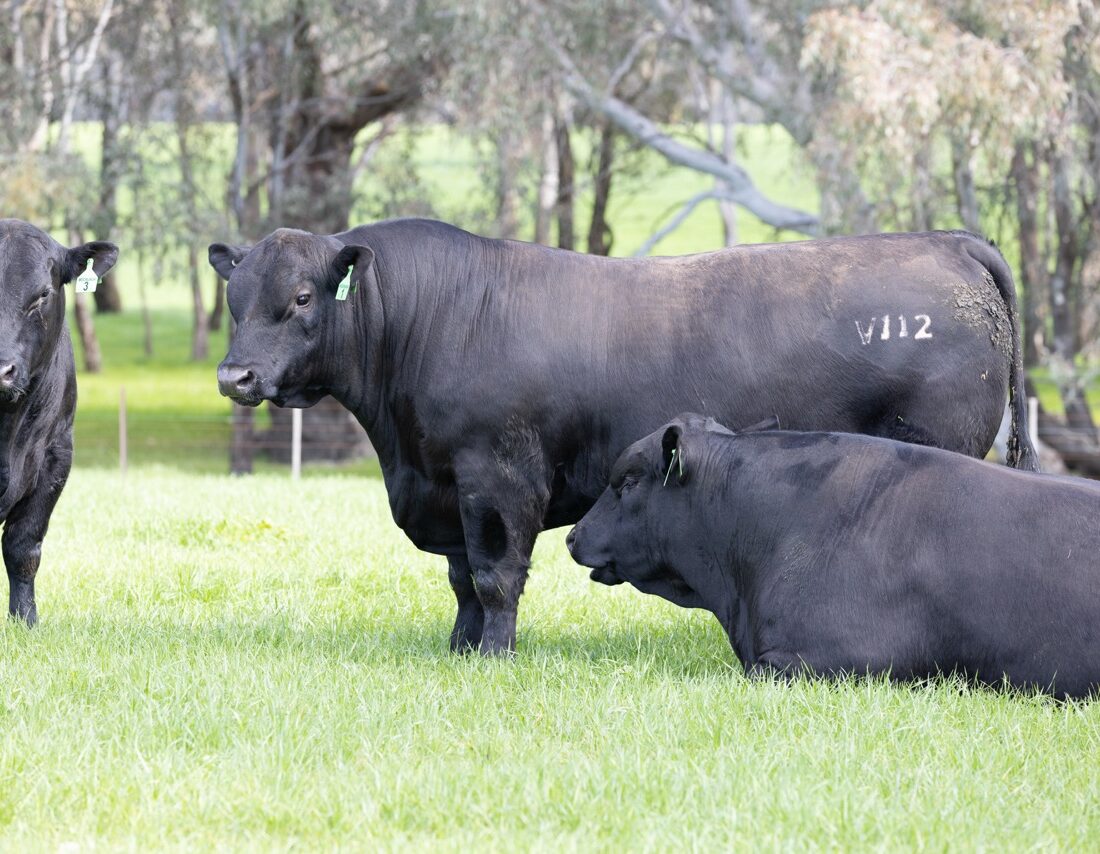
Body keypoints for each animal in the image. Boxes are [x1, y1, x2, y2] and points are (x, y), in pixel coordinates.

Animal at [209, 219, 1037, 655]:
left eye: (304, 297)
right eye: (234, 296)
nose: (235, 376)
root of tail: (946, 241)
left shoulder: (499, 476)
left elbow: (495, 575)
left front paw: (494, 656)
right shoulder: (447, 486)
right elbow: (461, 579)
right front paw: (458, 649)